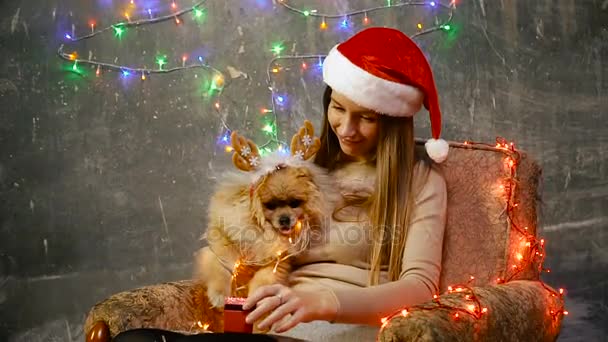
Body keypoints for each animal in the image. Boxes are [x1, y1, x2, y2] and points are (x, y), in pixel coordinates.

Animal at [195, 121, 334, 308]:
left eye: (295, 204)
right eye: (271, 206)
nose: (284, 219)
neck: (261, 232)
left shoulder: (275, 262)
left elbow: (263, 282)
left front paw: (258, 300)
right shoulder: (222, 250)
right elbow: (220, 270)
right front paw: (219, 295)